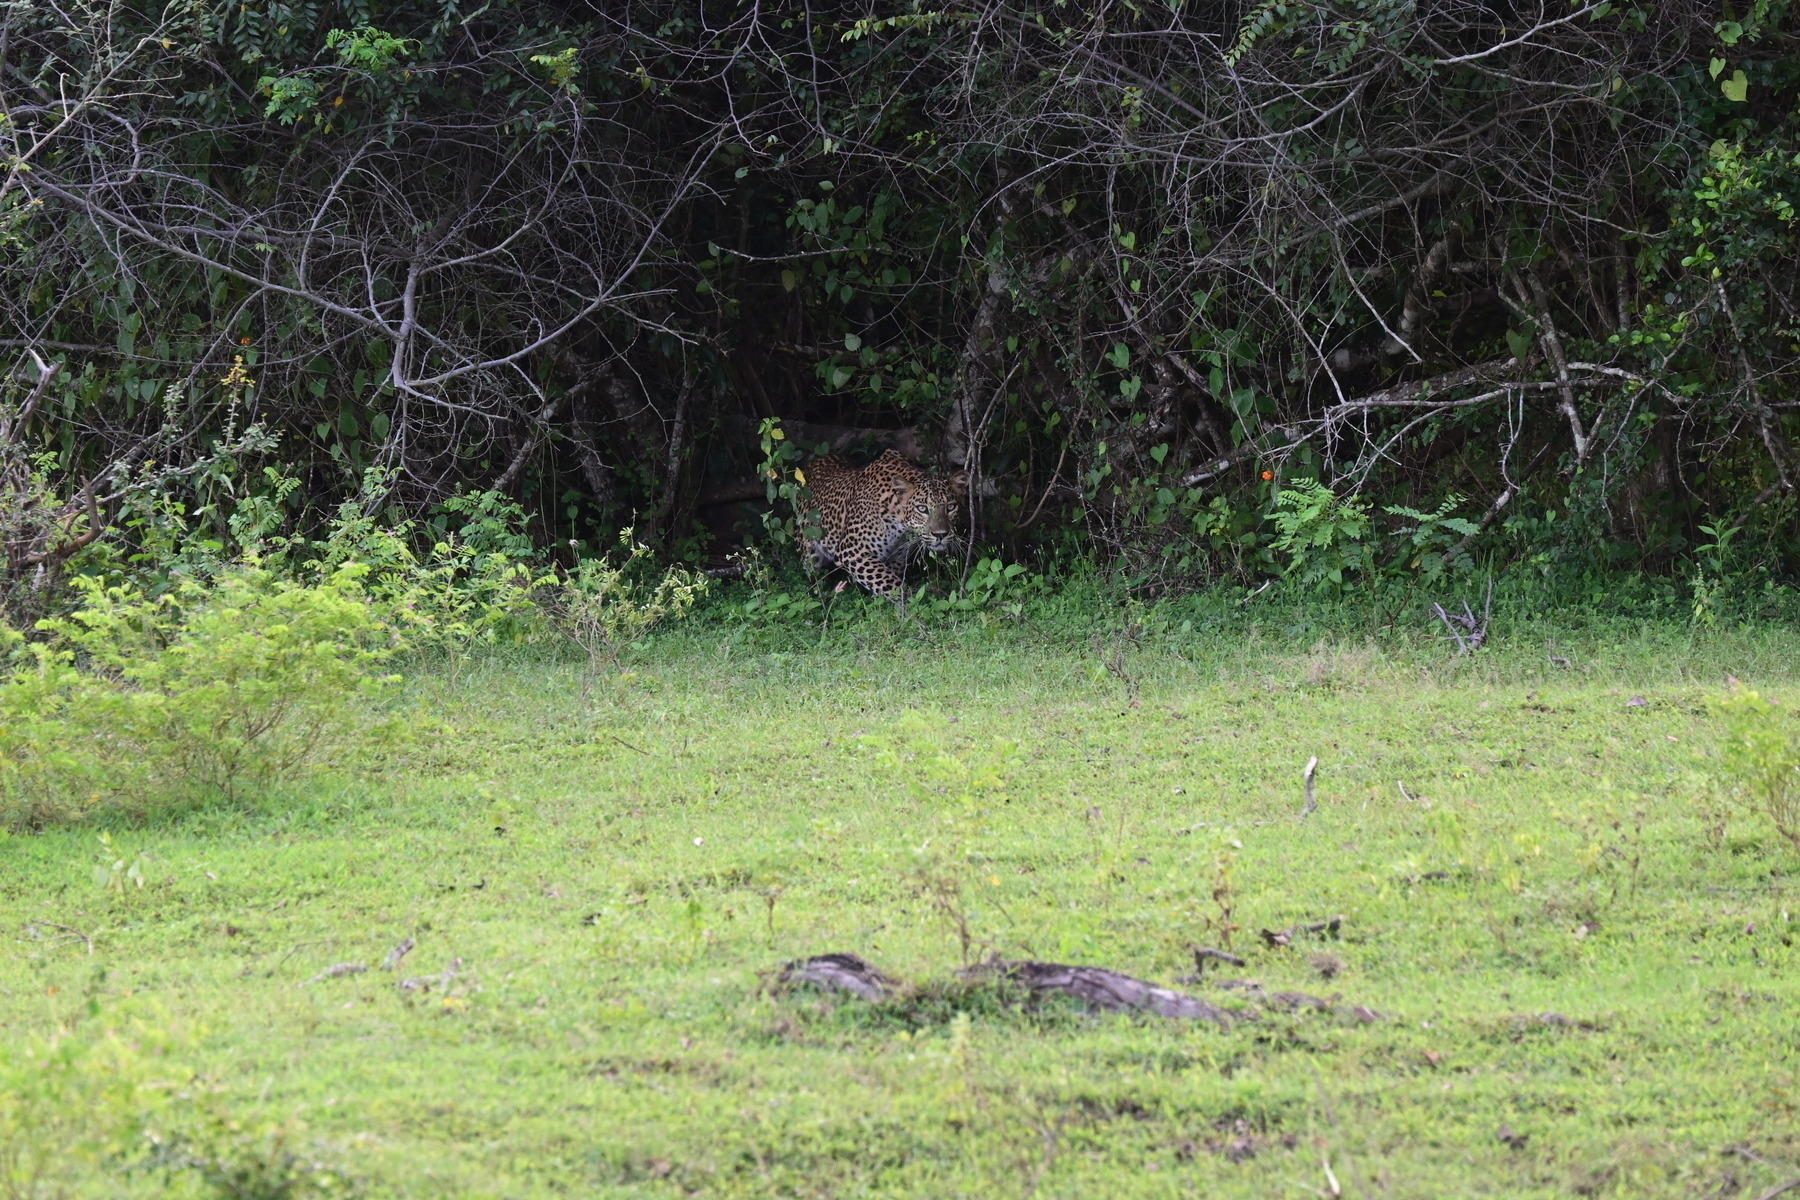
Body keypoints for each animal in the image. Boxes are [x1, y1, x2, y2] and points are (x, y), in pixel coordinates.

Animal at [802, 449, 972, 600]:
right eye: (922, 508)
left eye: (951, 507)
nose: (940, 534)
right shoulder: (851, 550)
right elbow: (887, 580)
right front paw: (909, 604)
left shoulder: (898, 554)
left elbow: (885, 579)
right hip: (810, 553)